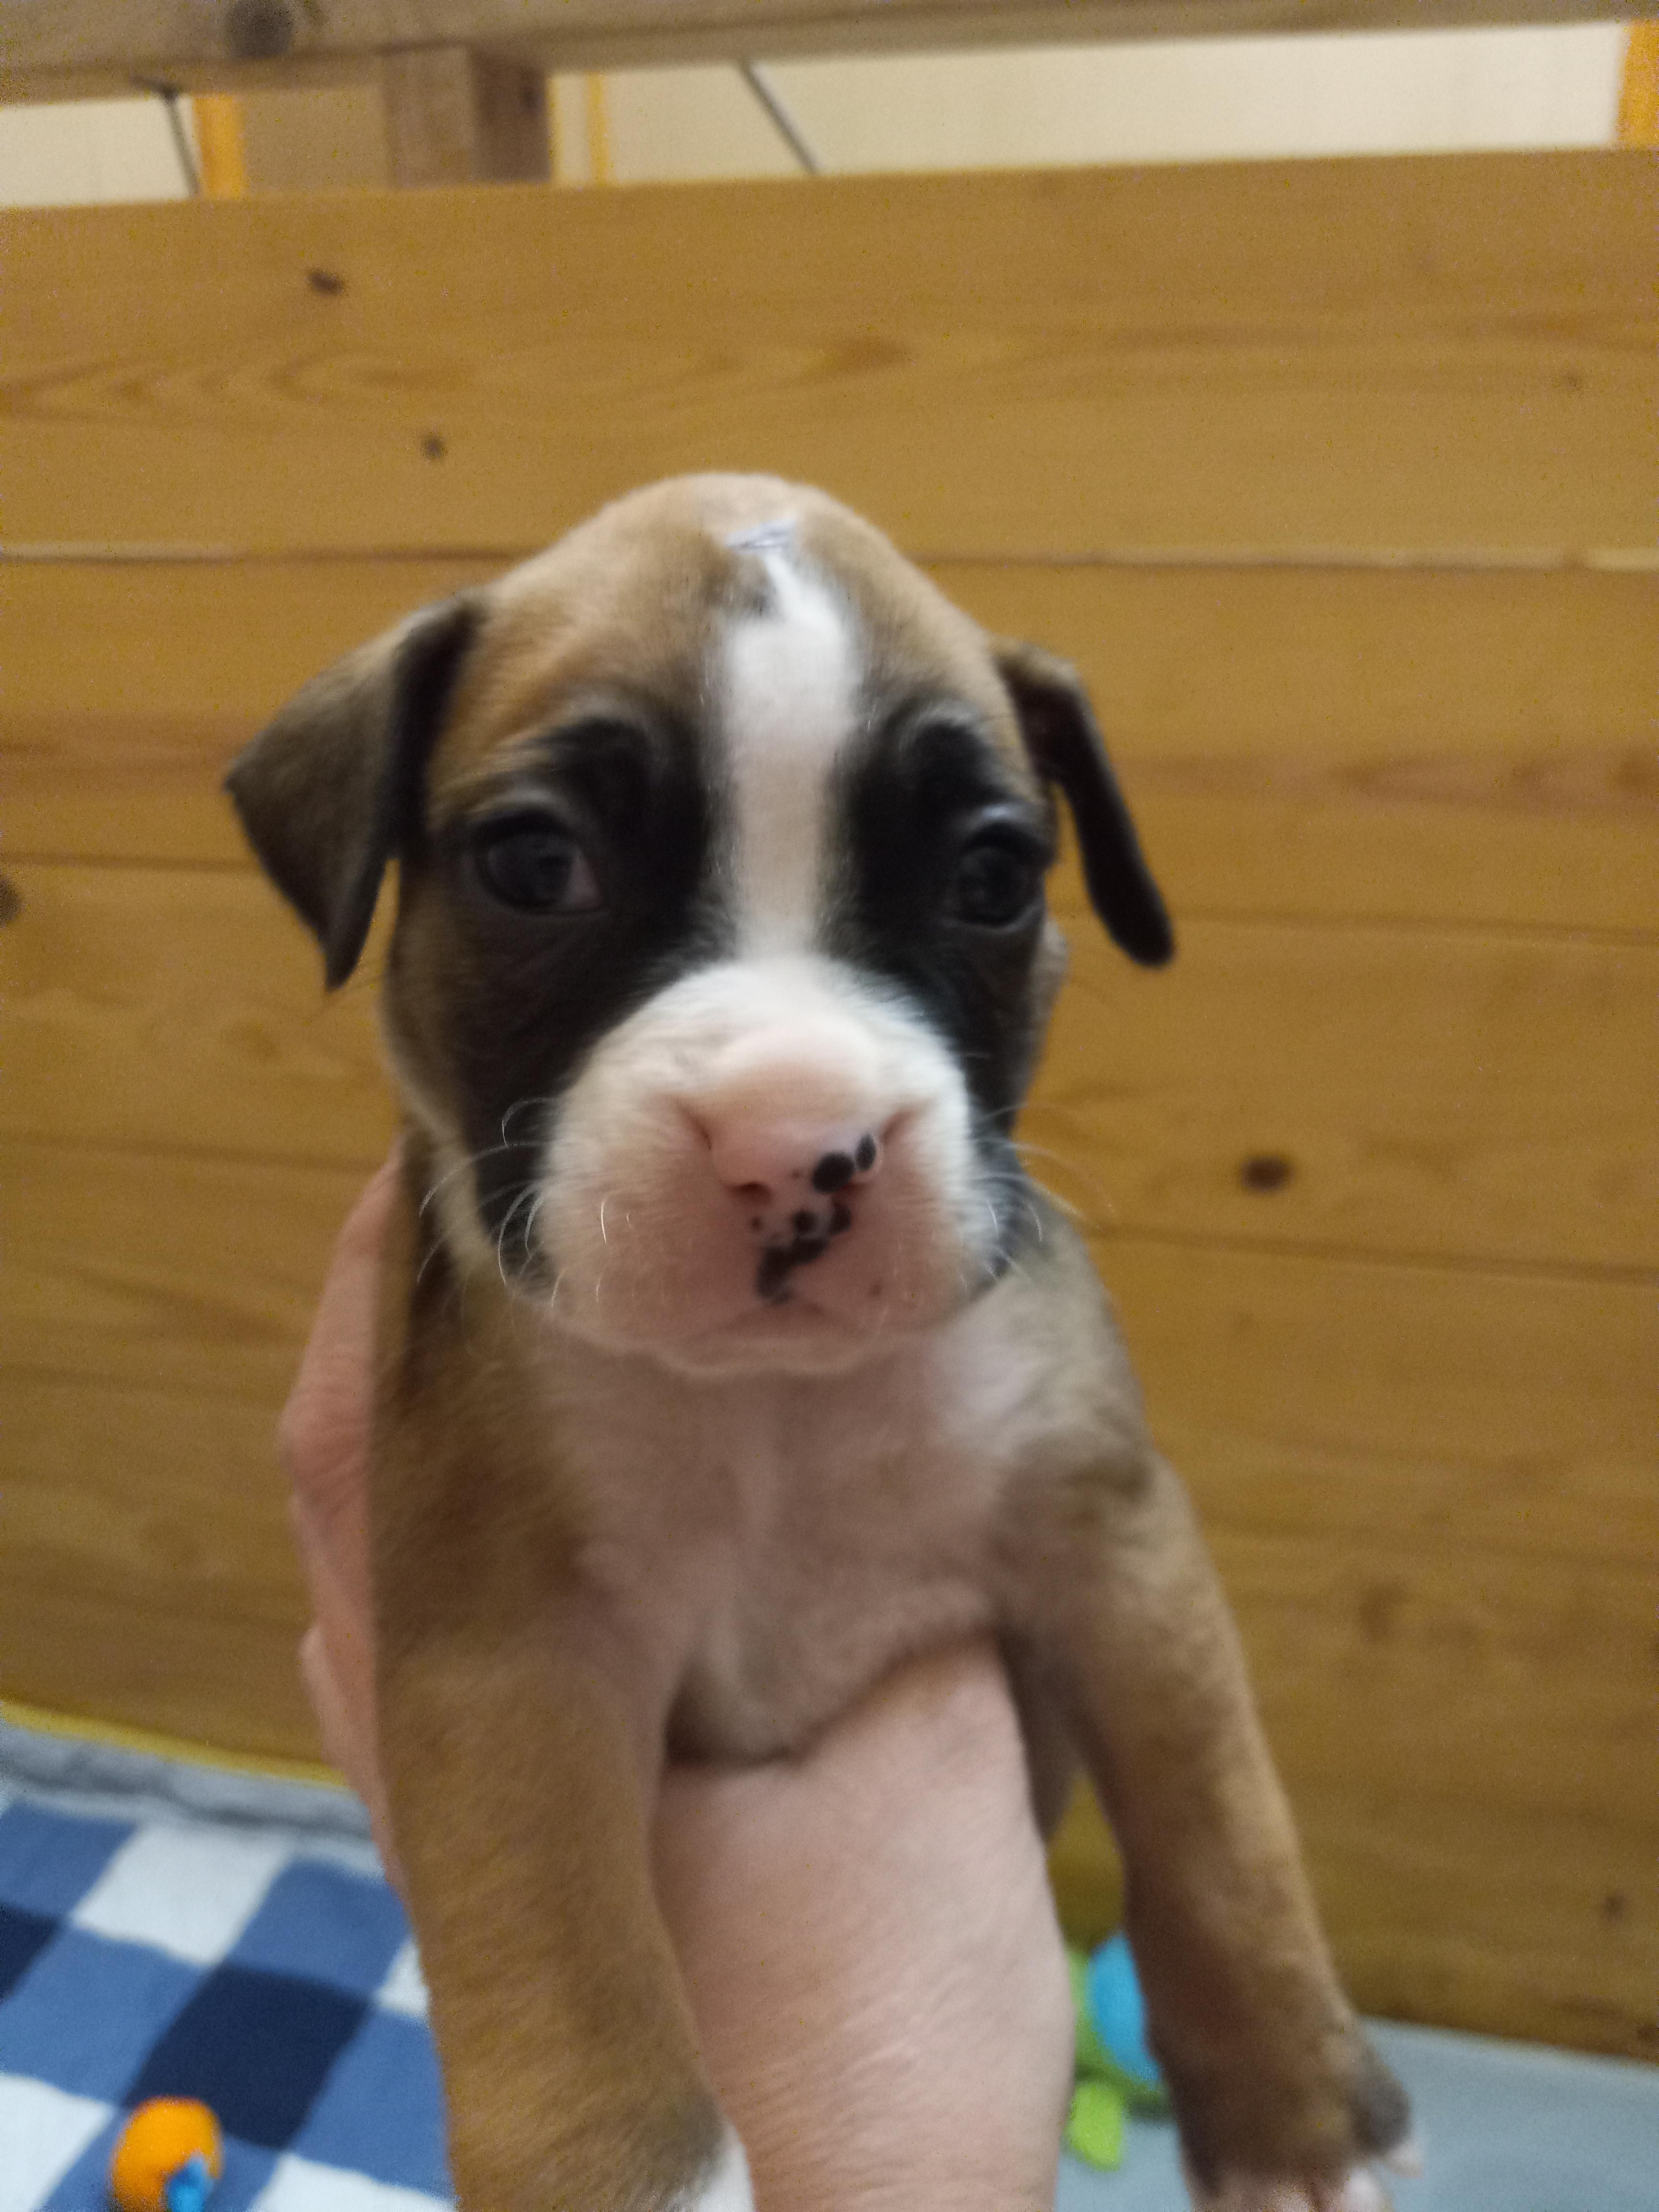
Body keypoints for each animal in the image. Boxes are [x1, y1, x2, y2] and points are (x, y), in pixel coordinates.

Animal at [228, 475, 1411, 2211]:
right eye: (536, 863)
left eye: (991, 877)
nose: (795, 1147)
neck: (768, 1407)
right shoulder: (506, 1642)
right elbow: (555, 1932)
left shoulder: (1113, 1543)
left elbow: (1214, 1818)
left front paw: (1286, 2115)